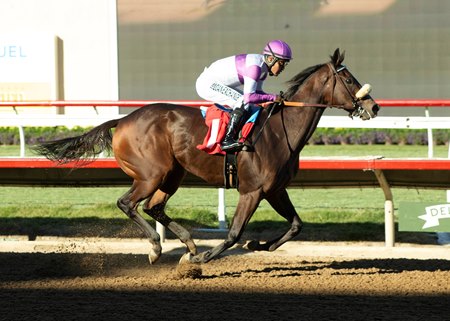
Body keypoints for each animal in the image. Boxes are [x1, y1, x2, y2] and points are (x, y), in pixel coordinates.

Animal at [34, 48, 380, 264]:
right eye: (349, 79)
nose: (373, 106)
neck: (281, 131)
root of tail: (123, 119)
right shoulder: (252, 190)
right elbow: (234, 233)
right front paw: (204, 258)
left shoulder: (275, 189)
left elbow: (296, 225)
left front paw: (260, 244)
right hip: (151, 174)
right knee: (128, 204)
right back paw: (158, 247)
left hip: (172, 174)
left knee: (153, 206)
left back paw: (187, 244)